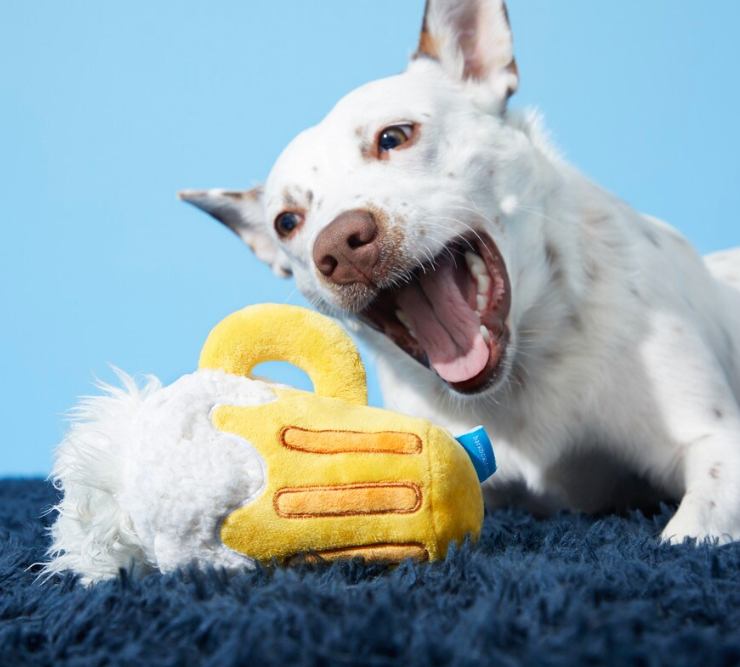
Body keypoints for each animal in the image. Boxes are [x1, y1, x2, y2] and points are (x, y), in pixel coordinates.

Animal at [179, 0, 740, 544]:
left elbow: (688, 533)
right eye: (287, 221)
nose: (340, 244)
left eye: (394, 136)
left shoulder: (717, 443)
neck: (519, 377)